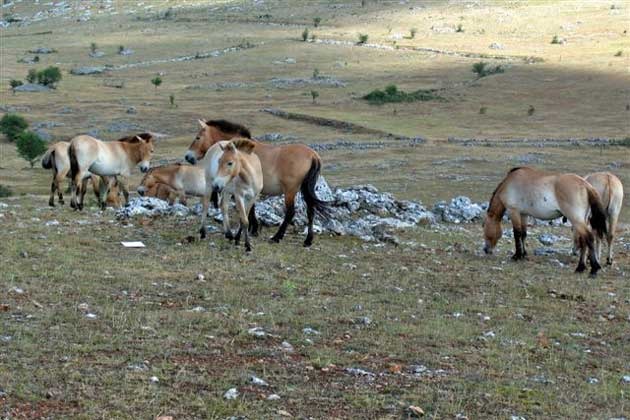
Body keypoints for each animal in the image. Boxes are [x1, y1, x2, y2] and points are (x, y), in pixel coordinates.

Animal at [185, 118, 330, 246]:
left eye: (198, 137)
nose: (188, 157)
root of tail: (313, 155)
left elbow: (249, 210)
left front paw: (252, 229)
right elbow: (251, 209)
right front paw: (253, 229)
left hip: (290, 191)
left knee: (290, 212)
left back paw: (277, 237)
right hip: (304, 189)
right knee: (310, 211)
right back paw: (308, 240)